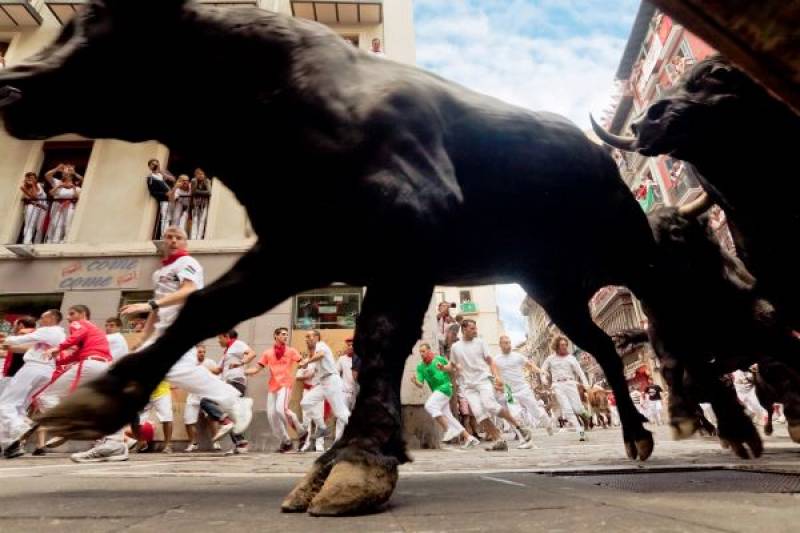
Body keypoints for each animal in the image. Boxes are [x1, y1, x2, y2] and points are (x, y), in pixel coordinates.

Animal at [0, 0, 720, 516]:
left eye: (100, 20)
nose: (11, 84)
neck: (272, 101)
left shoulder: (408, 237)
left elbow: (379, 339)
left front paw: (358, 458)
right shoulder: (295, 249)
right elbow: (205, 307)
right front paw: (97, 400)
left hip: (622, 246)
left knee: (656, 303)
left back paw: (689, 413)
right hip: (554, 284)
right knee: (601, 346)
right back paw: (643, 430)